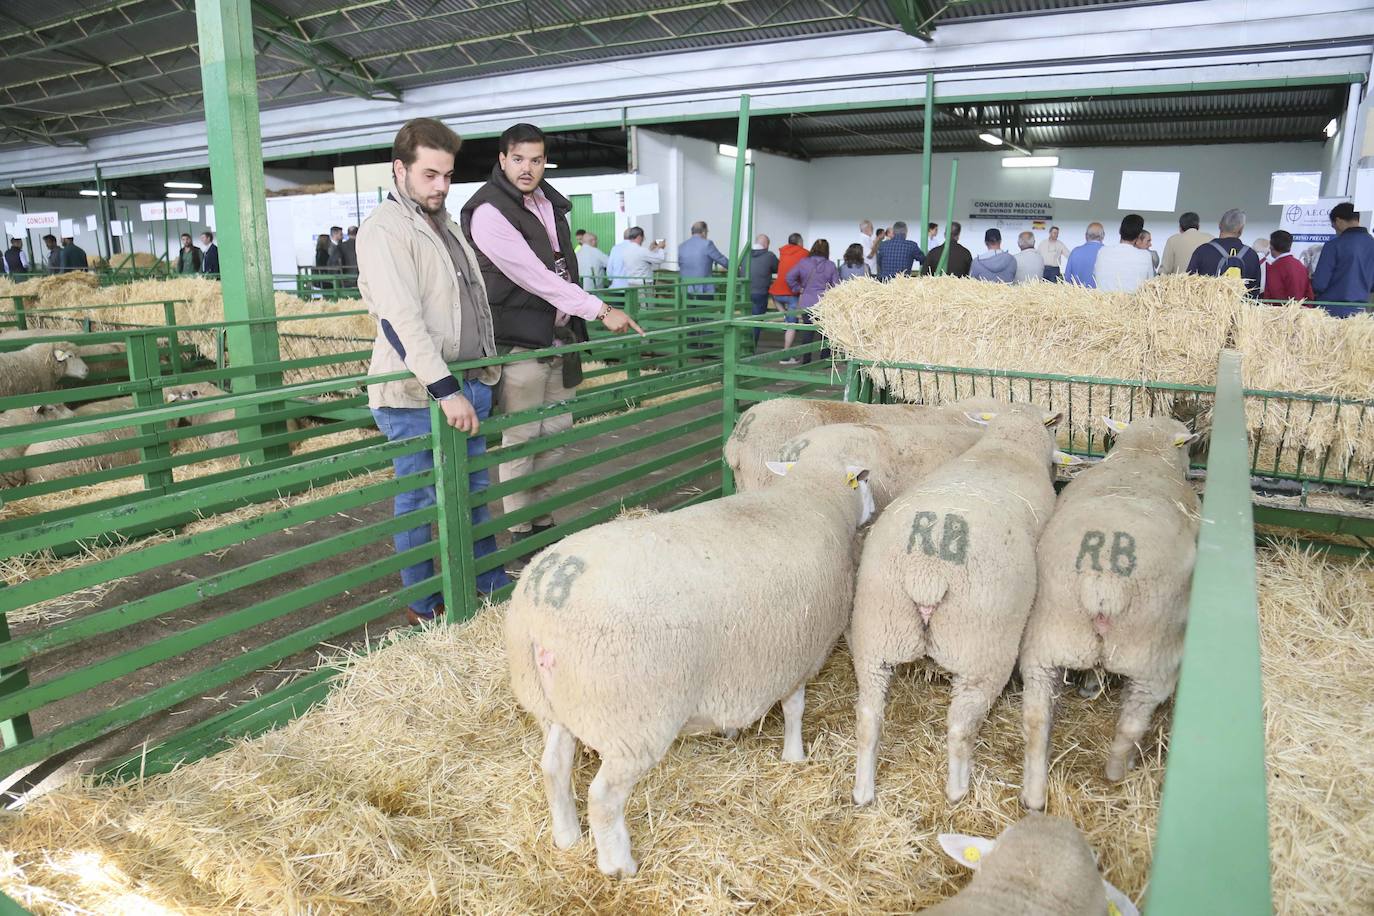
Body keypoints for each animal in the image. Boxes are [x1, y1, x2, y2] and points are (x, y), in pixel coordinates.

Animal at [500, 447, 873, 878]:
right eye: (863, 480)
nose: (875, 507)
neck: (812, 498)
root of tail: (542, 605)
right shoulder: (801, 654)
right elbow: (795, 708)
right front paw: (794, 756)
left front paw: (732, 732)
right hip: (632, 720)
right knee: (604, 797)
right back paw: (619, 865)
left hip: (556, 706)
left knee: (554, 767)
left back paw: (567, 837)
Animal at [846, 403, 1071, 807]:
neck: (1008, 448)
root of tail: (927, 570)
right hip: (980, 650)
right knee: (960, 726)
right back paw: (957, 790)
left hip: (877, 630)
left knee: (868, 716)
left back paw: (863, 791)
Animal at [1016, 414, 1198, 807]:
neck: (1142, 455)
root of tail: (1104, 583)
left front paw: (1089, 684)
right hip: (1152, 657)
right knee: (1131, 723)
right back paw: (1118, 770)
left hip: (1047, 638)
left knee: (1036, 716)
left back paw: (1034, 793)